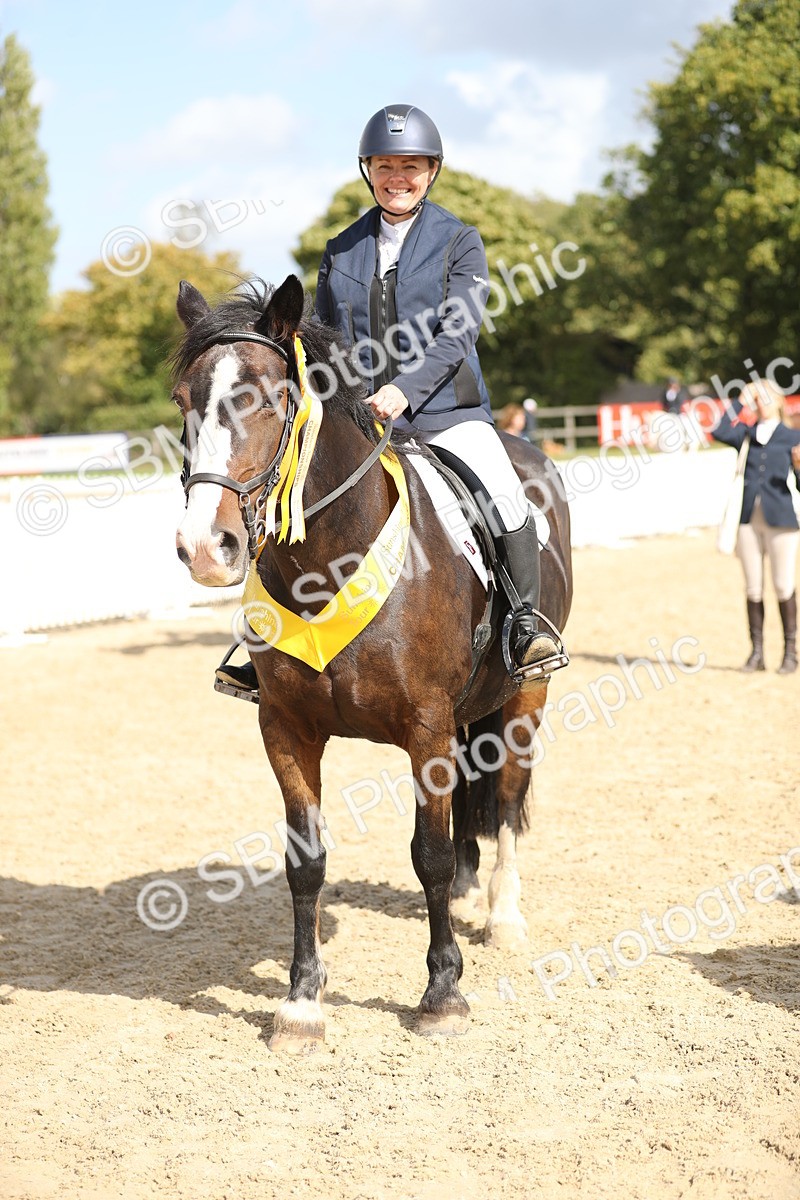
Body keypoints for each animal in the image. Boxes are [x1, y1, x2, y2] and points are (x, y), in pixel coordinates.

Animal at [172, 275, 573, 1053]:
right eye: (183, 402)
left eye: (267, 396)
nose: (206, 548)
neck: (331, 556)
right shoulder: (286, 728)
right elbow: (306, 861)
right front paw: (301, 1003)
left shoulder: (426, 727)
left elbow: (429, 855)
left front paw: (443, 992)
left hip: (524, 697)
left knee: (508, 798)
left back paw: (503, 915)